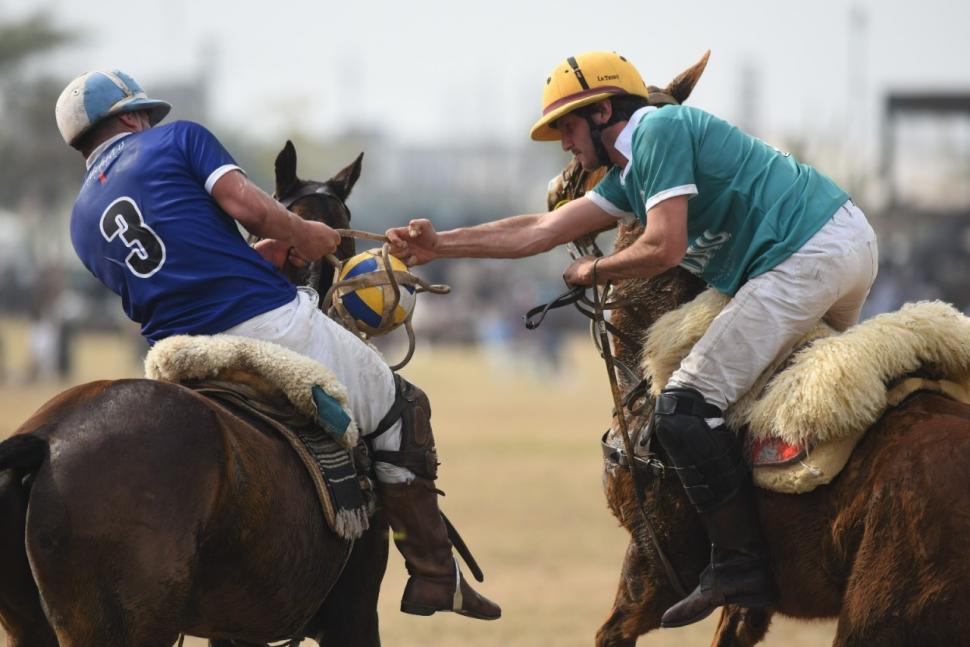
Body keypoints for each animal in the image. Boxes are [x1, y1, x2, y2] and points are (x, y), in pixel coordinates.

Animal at [0, 143, 390, 647]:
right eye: (346, 226)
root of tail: (44, 439)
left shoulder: (237, 626)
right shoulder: (353, 615)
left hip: (30, 625)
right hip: (128, 624)